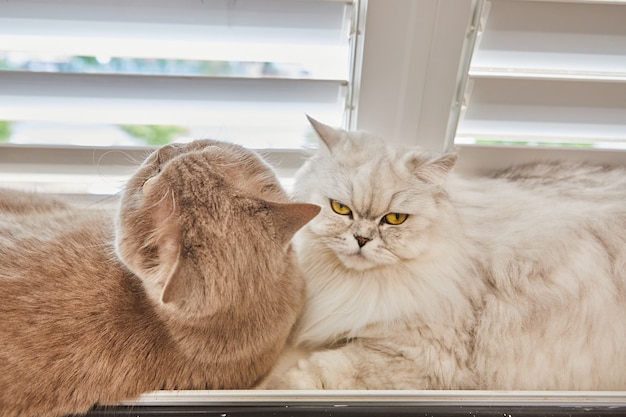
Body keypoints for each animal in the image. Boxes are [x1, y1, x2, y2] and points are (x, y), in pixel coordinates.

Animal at [262, 116, 624, 390]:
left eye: (394, 219)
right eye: (340, 209)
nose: (362, 239)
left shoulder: (421, 354)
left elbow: (318, 372)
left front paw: (272, 387)